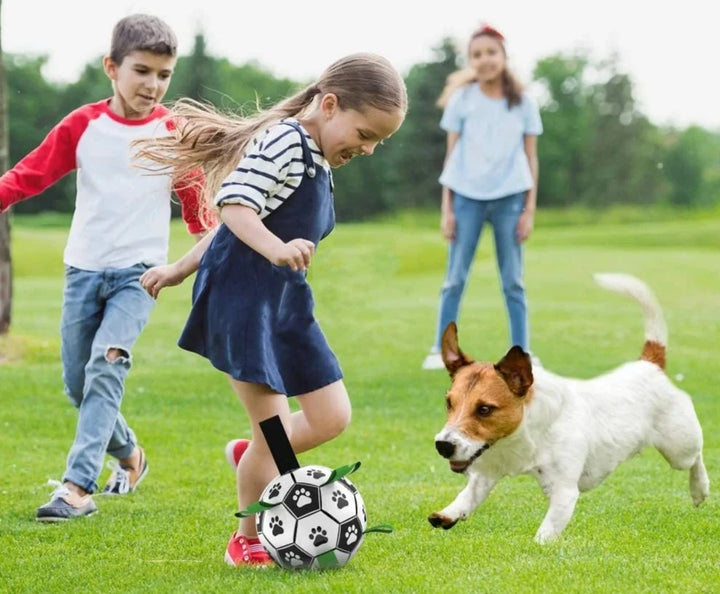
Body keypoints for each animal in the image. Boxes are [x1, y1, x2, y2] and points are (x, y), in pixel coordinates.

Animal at [428, 272, 708, 540]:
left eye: (485, 409)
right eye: (449, 402)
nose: (442, 445)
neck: (523, 436)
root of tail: (648, 364)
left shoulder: (563, 492)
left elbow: (546, 532)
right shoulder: (486, 472)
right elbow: (468, 496)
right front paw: (448, 513)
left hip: (679, 447)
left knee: (696, 457)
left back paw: (699, 488)